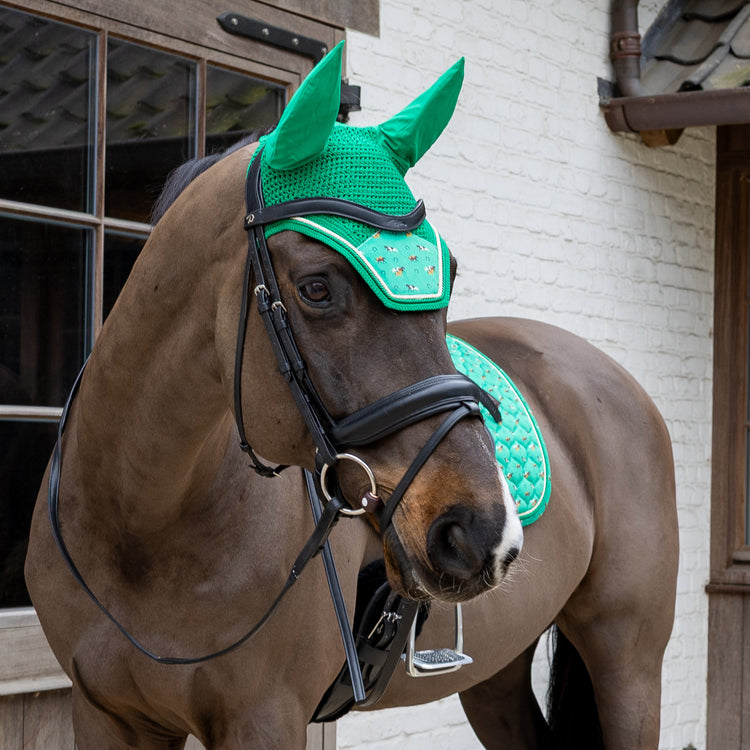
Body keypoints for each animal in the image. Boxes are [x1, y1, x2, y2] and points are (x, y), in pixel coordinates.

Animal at [25, 44, 678, 750]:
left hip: (627, 662)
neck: (141, 525)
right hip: (496, 674)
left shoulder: (264, 719)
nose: (484, 532)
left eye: (451, 273)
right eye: (316, 287)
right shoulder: (106, 715)